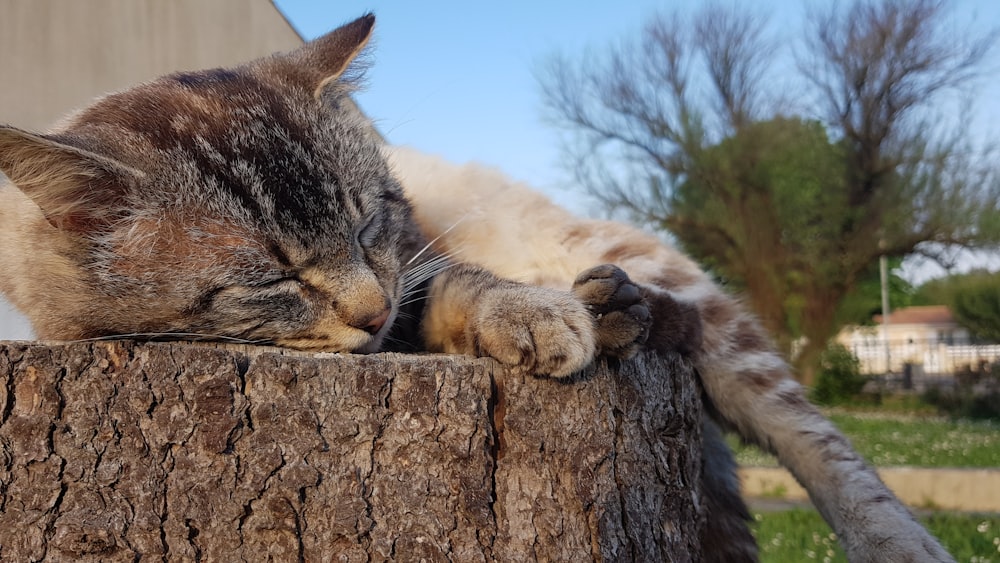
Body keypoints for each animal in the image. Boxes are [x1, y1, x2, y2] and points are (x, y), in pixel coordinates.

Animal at [0, 13, 952, 563]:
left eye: (366, 224)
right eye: (273, 275)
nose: (371, 310)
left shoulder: (413, 267)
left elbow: (460, 284)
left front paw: (535, 313)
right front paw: (543, 319)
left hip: (664, 281)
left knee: (816, 442)